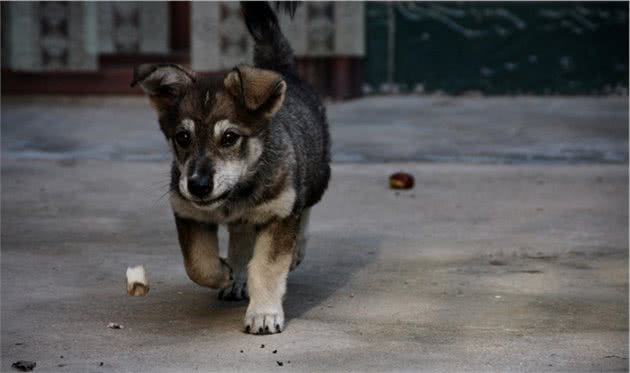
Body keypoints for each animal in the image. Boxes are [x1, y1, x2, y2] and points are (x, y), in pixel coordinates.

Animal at [131, 2, 334, 334]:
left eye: (229, 137)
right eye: (182, 137)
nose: (198, 186)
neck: (236, 194)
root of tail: (283, 71)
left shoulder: (279, 213)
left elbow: (266, 267)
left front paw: (264, 314)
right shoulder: (187, 213)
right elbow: (197, 263)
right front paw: (225, 272)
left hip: (316, 178)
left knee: (304, 209)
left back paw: (296, 252)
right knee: (241, 236)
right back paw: (236, 275)